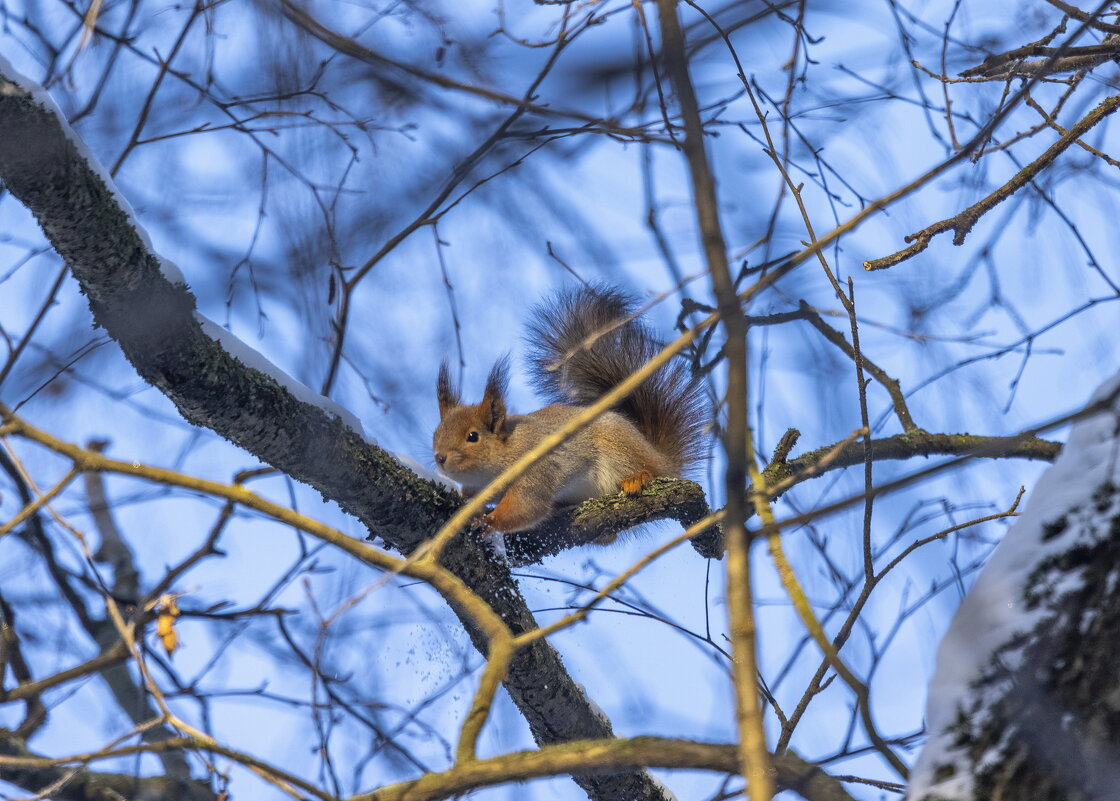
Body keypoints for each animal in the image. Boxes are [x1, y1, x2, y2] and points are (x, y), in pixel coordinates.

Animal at [432, 285, 703, 535]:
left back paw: (638, 478)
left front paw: (489, 521)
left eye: (473, 436)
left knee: (652, 471)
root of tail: (660, 456)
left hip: (620, 446)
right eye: (436, 434)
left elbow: (527, 505)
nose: (440, 458)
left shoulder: (535, 468)